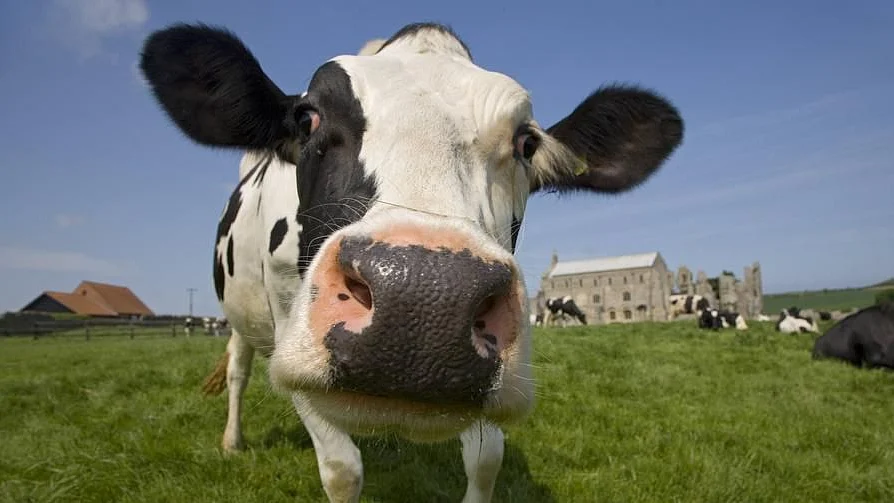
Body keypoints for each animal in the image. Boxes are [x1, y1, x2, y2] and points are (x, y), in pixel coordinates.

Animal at [139, 21, 683, 502]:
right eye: (308, 118)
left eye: (527, 142)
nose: (424, 299)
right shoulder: (290, 343)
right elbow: (342, 470)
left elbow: (486, 461)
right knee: (237, 371)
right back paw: (232, 442)